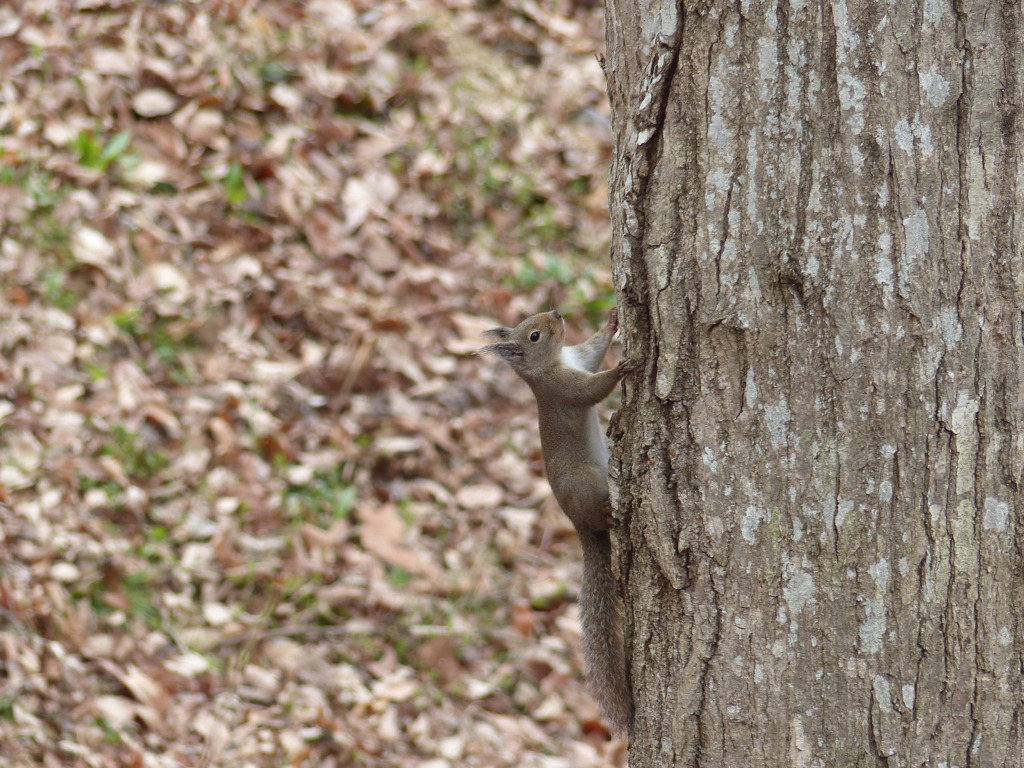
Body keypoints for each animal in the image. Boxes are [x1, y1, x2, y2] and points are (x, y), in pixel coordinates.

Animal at [477, 305, 630, 733]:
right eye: (534, 336)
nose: (558, 313)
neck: (552, 364)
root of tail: (580, 528)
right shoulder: (563, 387)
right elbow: (591, 390)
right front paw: (622, 368)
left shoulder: (578, 358)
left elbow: (593, 350)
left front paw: (612, 322)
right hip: (586, 481)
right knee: (599, 514)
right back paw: (608, 512)